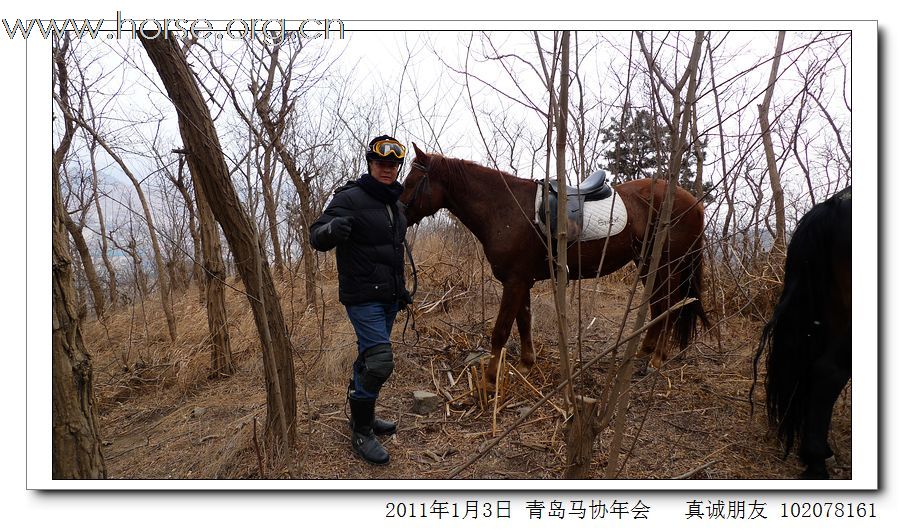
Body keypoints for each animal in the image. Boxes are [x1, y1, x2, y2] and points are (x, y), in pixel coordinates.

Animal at [400, 146, 708, 382]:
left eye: (411, 183)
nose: (400, 214)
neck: (506, 207)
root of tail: (695, 202)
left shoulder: (515, 281)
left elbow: (501, 330)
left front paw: (490, 380)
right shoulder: (520, 281)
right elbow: (524, 321)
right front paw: (526, 364)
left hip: (669, 265)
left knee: (670, 305)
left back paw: (657, 359)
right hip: (648, 265)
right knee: (658, 305)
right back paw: (645, 353)